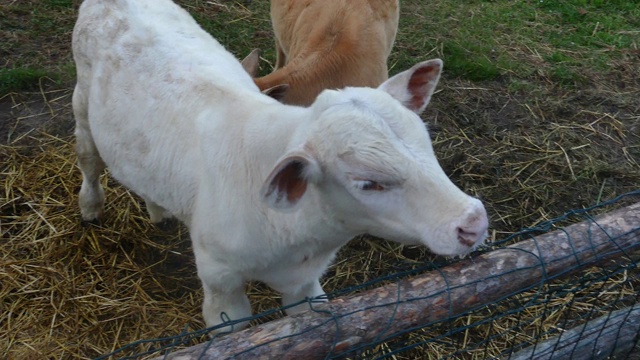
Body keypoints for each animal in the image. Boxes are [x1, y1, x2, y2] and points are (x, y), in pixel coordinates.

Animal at [71, 0, 490, 334]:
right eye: (367, 182)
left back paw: (158, 209)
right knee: (89, 158)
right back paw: (90, 206)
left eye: (427, 144)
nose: (473, 222)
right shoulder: (220, 283)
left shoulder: (307, 286)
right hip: (81, 101)